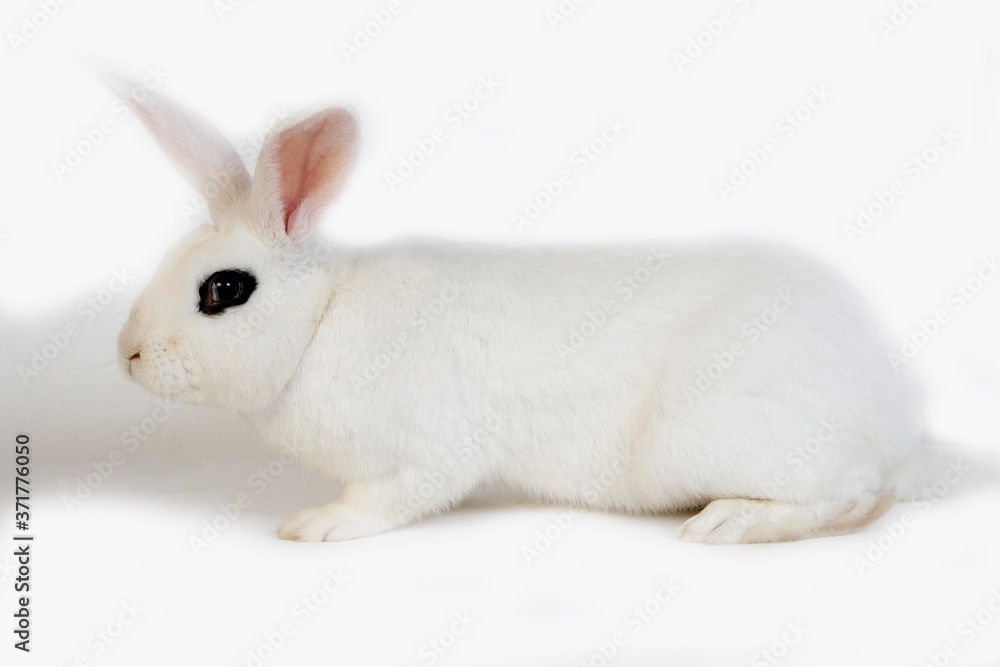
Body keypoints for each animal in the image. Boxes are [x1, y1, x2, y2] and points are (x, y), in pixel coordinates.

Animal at [111, 79, 960, 548]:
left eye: (224, 289)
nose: (128, 354)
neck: (321, 319)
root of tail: (893, 422)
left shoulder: (422, 454)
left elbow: (385, 501)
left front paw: (313, 525)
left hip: (735, 434)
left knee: (855, 496)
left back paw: (731, 523)